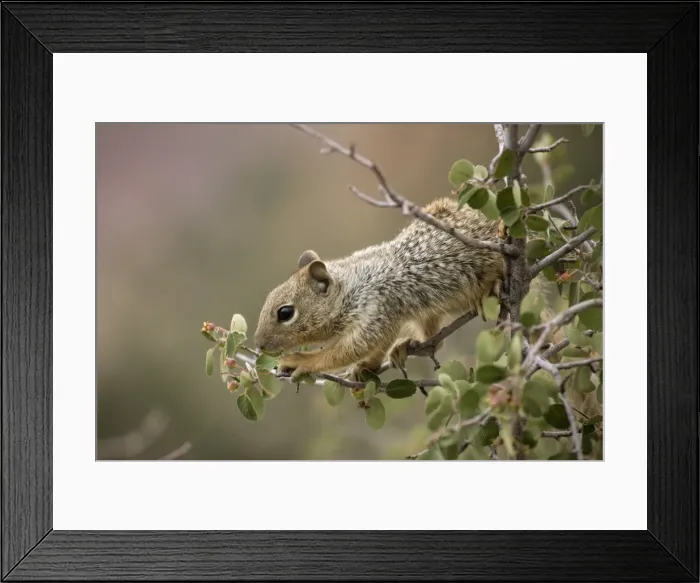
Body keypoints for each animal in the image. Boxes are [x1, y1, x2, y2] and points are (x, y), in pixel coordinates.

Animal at [254, 197, 506, 382]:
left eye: (285, 313)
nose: (259, 344)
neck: (352, 286)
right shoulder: (389, 318)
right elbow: (377, 346)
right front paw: (367, 365)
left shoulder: (376, 309)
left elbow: (346, 351)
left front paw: (301, 360)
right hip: (426, 314)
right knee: (435, 340)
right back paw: (405, 347)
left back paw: (489, 289)